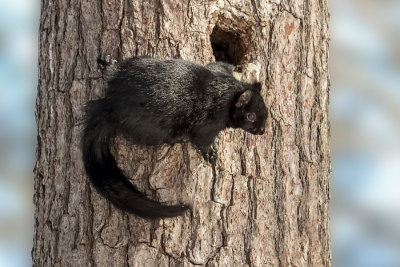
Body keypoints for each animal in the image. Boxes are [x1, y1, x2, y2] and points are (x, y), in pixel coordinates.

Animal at [80, 56, 268, 220]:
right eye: (250, 116)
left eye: (265, 111)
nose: (262, 131)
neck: (227, 93)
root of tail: (111, 107)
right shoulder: (208, 125)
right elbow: (203, 141)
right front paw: (211, 154)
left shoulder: (218, 70)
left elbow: (218, 64)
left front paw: (236, 67)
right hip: (155, 128)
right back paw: (180, 138)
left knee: (114, 71)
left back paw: (108, 64)